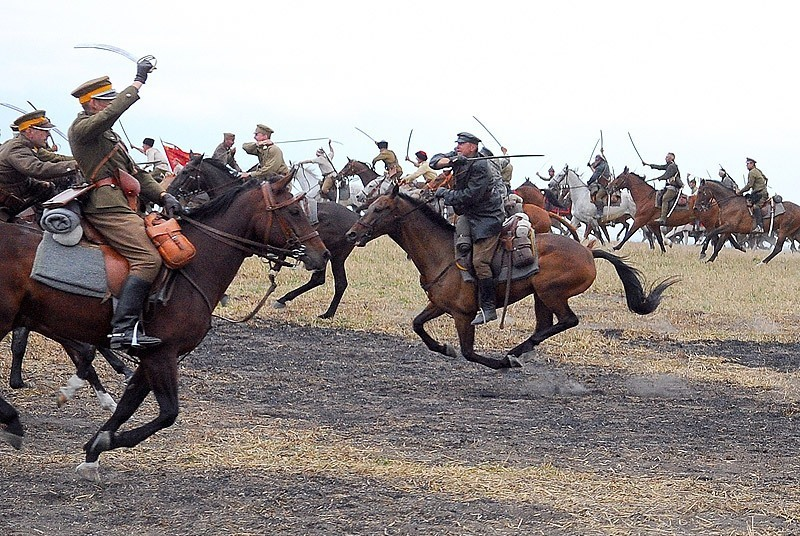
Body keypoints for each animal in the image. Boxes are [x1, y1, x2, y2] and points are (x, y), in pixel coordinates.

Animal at [0, 176, 332, 482]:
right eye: (294, 211)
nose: (323, 254)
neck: (193, 267)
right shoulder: (162, 355)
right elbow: (168, 413)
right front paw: (105, 442)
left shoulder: (149, 358)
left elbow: (126, 406)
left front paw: (93, 452)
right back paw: (12, 420)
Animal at [172, 156, 360, 318]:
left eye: (186, 171)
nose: (171, 190)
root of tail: (355, 218)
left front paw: (224, 297)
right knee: (321, 279)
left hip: (334, 257)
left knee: (337, 282)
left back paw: (323, 312)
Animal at [346, 186, 680, 370]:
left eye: (380, 208)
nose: (351, 233)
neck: (443, 253)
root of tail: (587, 252)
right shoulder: (440, 305)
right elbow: (418, 326)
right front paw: (444, 348)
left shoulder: (463, 315)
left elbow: (469, 352)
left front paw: (499, 363)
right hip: (541, 297)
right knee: (547, 326)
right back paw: (521, 350)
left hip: (550, 292)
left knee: (568, 321)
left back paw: (515, 354)